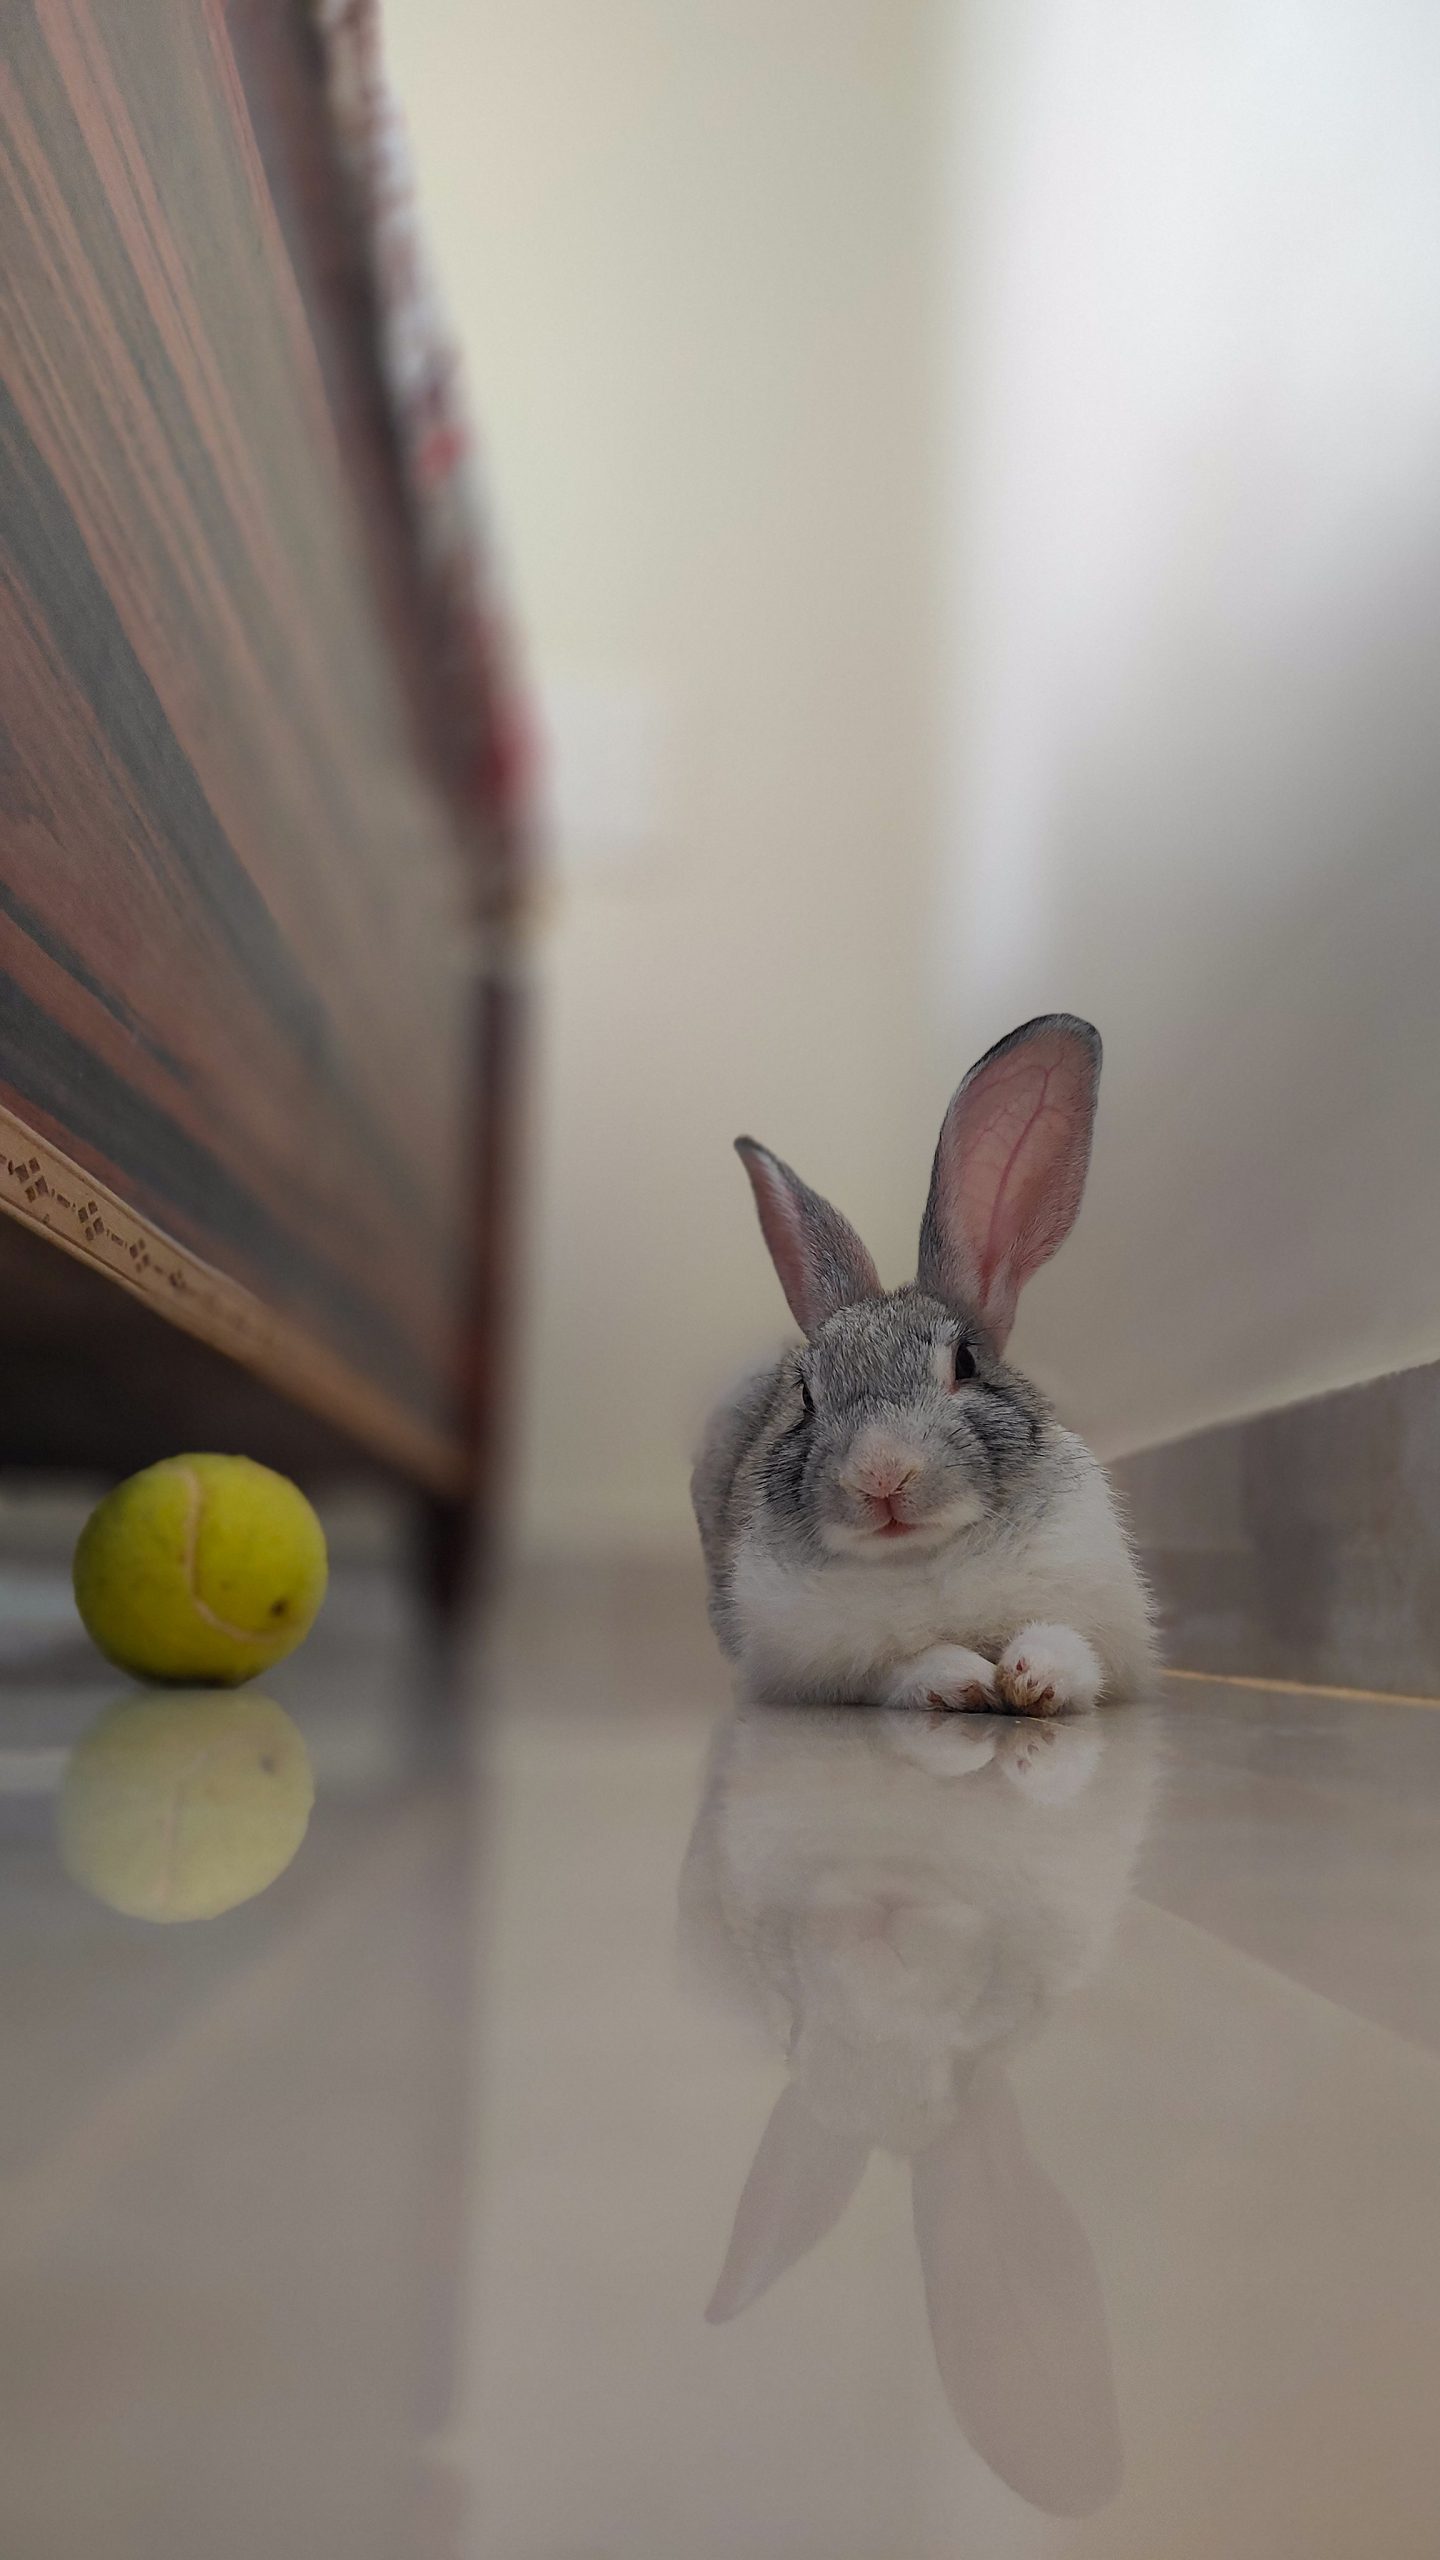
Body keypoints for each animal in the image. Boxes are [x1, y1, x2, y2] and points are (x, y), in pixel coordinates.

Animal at [692, 1014, 1156, 1717]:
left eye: (964, 1360)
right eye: (807, 1395)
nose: (881, 1475)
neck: (926, 1556)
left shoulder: (1101, 1626)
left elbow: (1069, 1649)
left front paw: (1031, 1678)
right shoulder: (827, 1670)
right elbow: (903, 1668)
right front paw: (963, 1679)